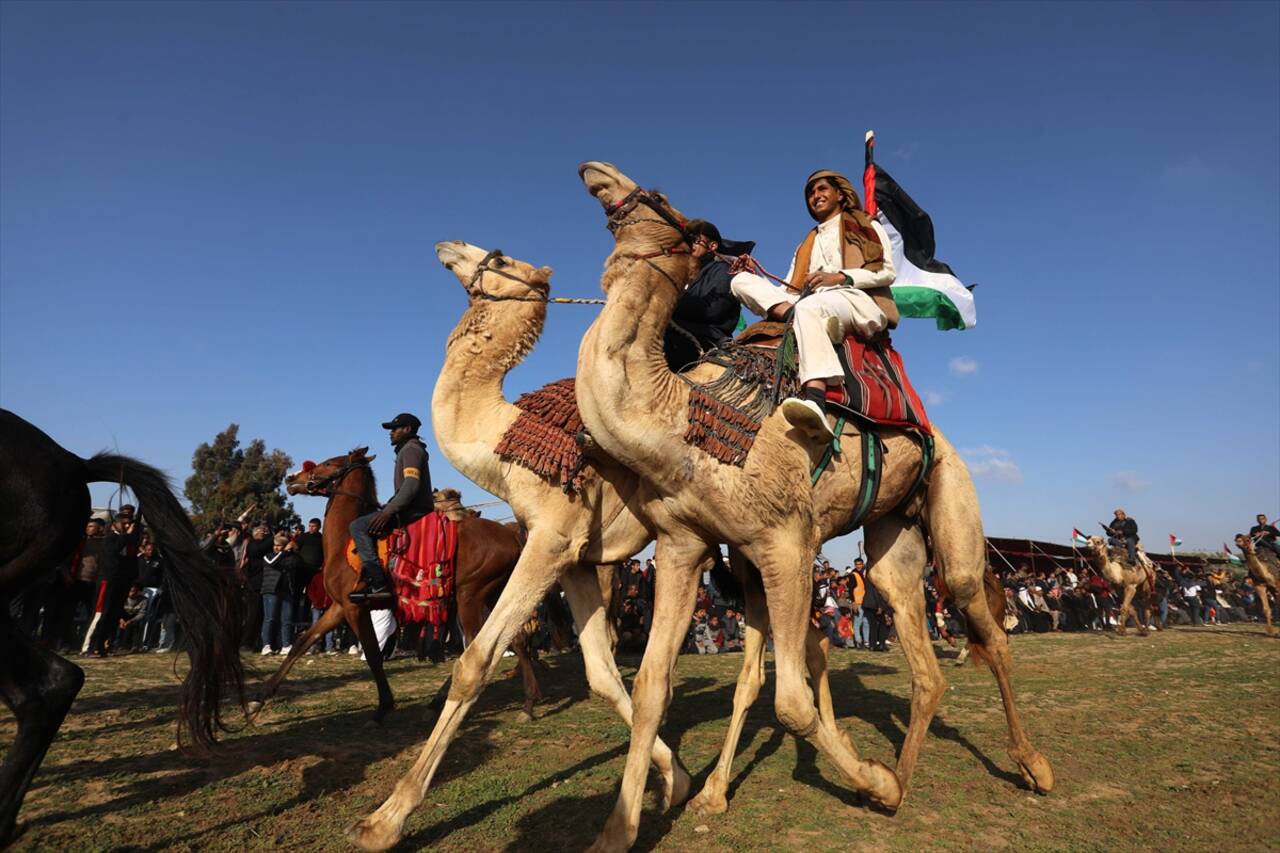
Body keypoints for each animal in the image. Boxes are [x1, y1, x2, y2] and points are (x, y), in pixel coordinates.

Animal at [248, 448, 550, 722]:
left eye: (329, 463)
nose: (292, 479)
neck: (343, 540)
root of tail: (513, 536)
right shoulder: (338, 607)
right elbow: (302, 642)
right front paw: (257, 700)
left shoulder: (354, 608)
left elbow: (372, 654)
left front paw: (384, 705)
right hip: (494, 595)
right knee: (514, 640)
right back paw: (528, 702)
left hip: (470, 597)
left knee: (478, 646)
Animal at [573, 161, 1049, 850]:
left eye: (659, 197)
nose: (597, 174)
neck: (682, 421)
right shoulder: (685, 545)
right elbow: (652, 685)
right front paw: (620, 829)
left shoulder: (785, 542)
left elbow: (792, 701)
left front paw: (870, 778)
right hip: (891, 537)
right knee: (918, 648)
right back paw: (899, 778)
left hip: (954, 498)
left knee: (982, 616)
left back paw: (1029, 767)